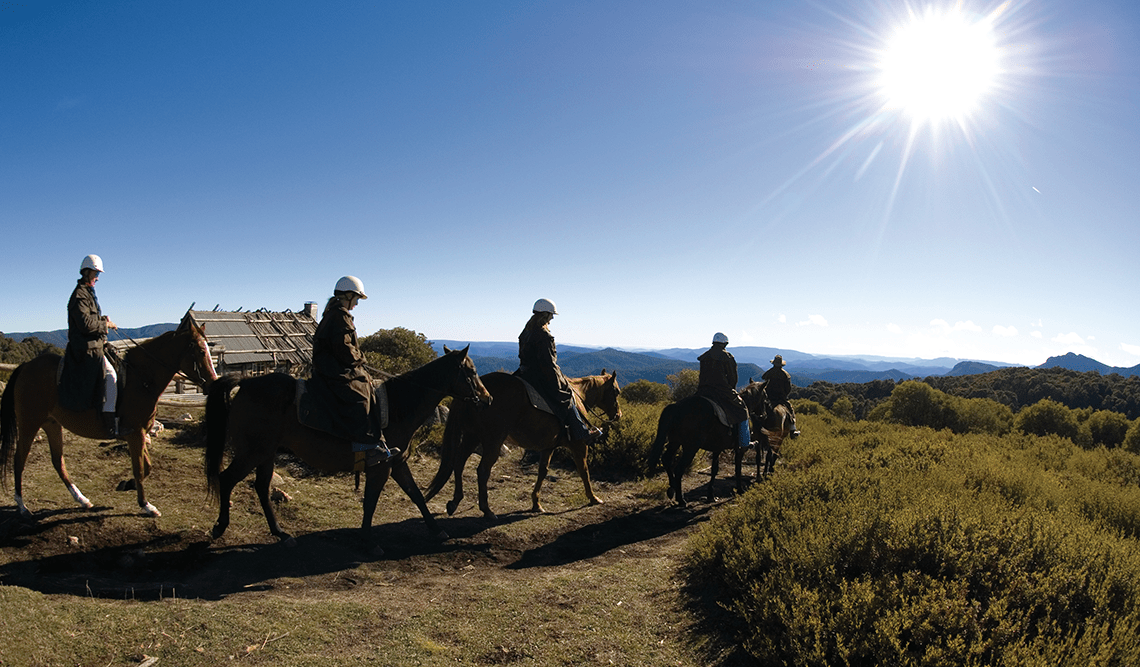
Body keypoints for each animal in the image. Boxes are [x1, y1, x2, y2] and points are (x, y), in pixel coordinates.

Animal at [0, 314, 216, 517]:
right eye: (201, 351)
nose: (213, 383)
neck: (141, 379)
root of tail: (26, 367)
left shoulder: (140, 434)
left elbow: (147, 467)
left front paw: (127, 484)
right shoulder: (135, 434)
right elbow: (140, 469)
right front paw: (146, 505)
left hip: (52, 423)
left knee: (58, 461)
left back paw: (82, 500)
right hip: (29, 424)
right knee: (19, 460)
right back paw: (22, 506)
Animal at [205, 344, 490, 551]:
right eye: (471, 372)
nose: (487, 398)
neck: (398, 405)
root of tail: (247, 382)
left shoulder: (397, 464)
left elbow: (416, 495)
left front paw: (437, 529)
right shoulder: (381, 467)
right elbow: (371, 502)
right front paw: (368, 542)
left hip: (266, 453)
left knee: (262, 488)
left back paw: (281, 534)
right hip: (253, 452)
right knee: (227, 479)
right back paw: (220, 527)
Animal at [421, 369, 620, 519]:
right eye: (616, 391)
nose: (618, 415)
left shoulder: (548, 447)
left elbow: (542, 472)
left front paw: (536, 503)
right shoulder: (579, 445)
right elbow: (584, 471)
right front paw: (593, 498)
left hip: (472, 437)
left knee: (459, 462)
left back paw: (455, 502)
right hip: (492, 441)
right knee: (482, 470)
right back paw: (487, 510)